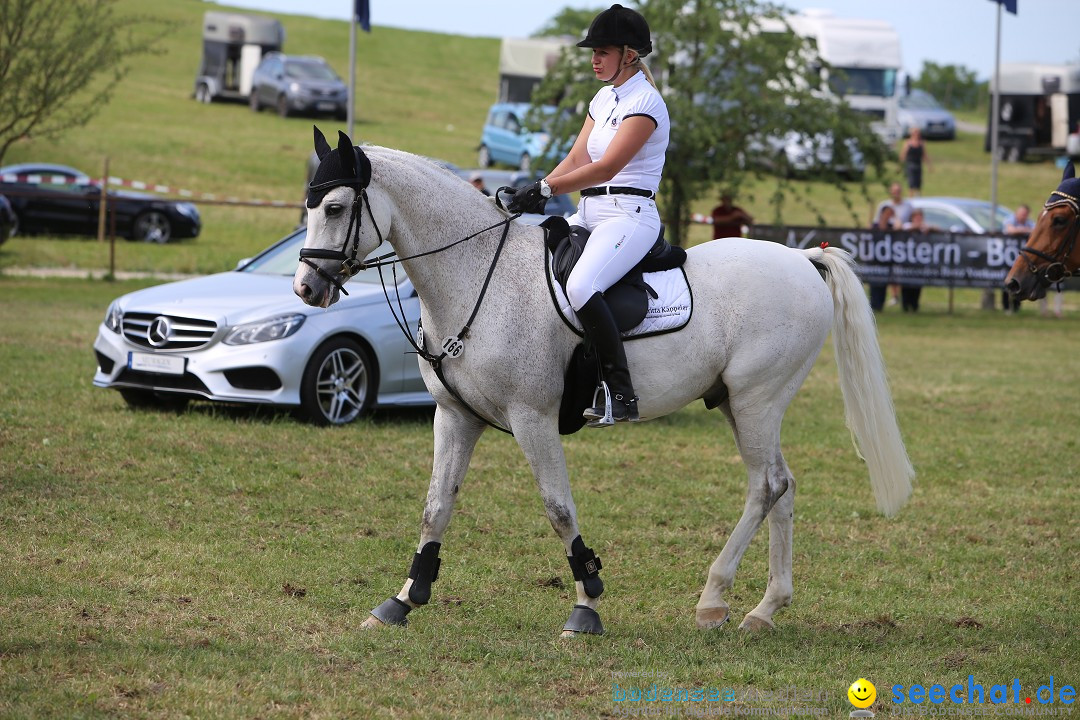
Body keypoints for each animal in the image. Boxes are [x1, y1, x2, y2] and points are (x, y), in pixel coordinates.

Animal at [293, 131, 911, 634]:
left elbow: (558, 508)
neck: (477, 276)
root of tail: (802, 260)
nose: (306, 287)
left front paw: (585, 605)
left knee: (765, 486)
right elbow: (436, 506)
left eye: (336, 207)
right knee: (782, 485)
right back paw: (764, 608)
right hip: (739, 403)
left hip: (758, 399)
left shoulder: (532, 419)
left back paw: (714, 599)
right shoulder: (456, 416)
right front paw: (403, 599)